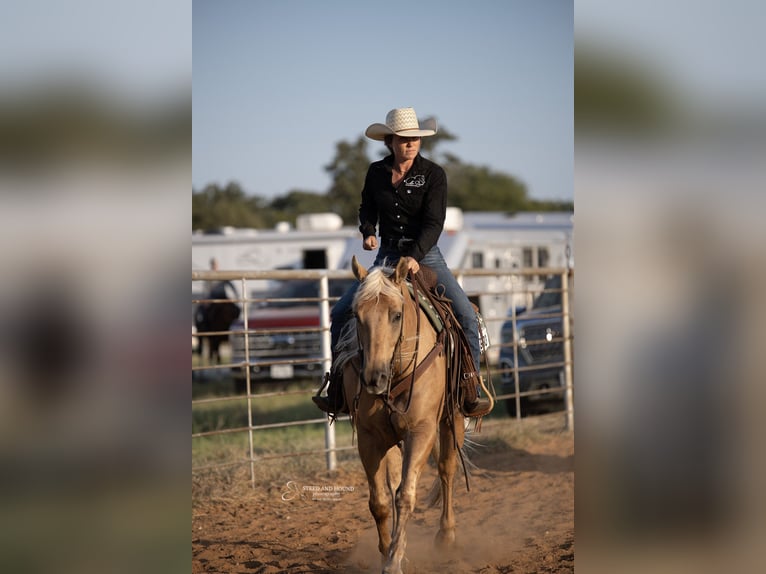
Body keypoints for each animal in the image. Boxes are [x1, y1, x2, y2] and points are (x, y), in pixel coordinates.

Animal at [344, 258, 468, 574]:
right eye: (356, 315)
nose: (374, 378)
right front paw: (388, 552)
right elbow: (380, 501)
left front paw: (394, 561)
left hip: (453, 418)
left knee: (447, 470)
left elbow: (405, 496)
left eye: (396, 315)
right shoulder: (369, 439)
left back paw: (446, 535)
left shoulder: (421, 431)